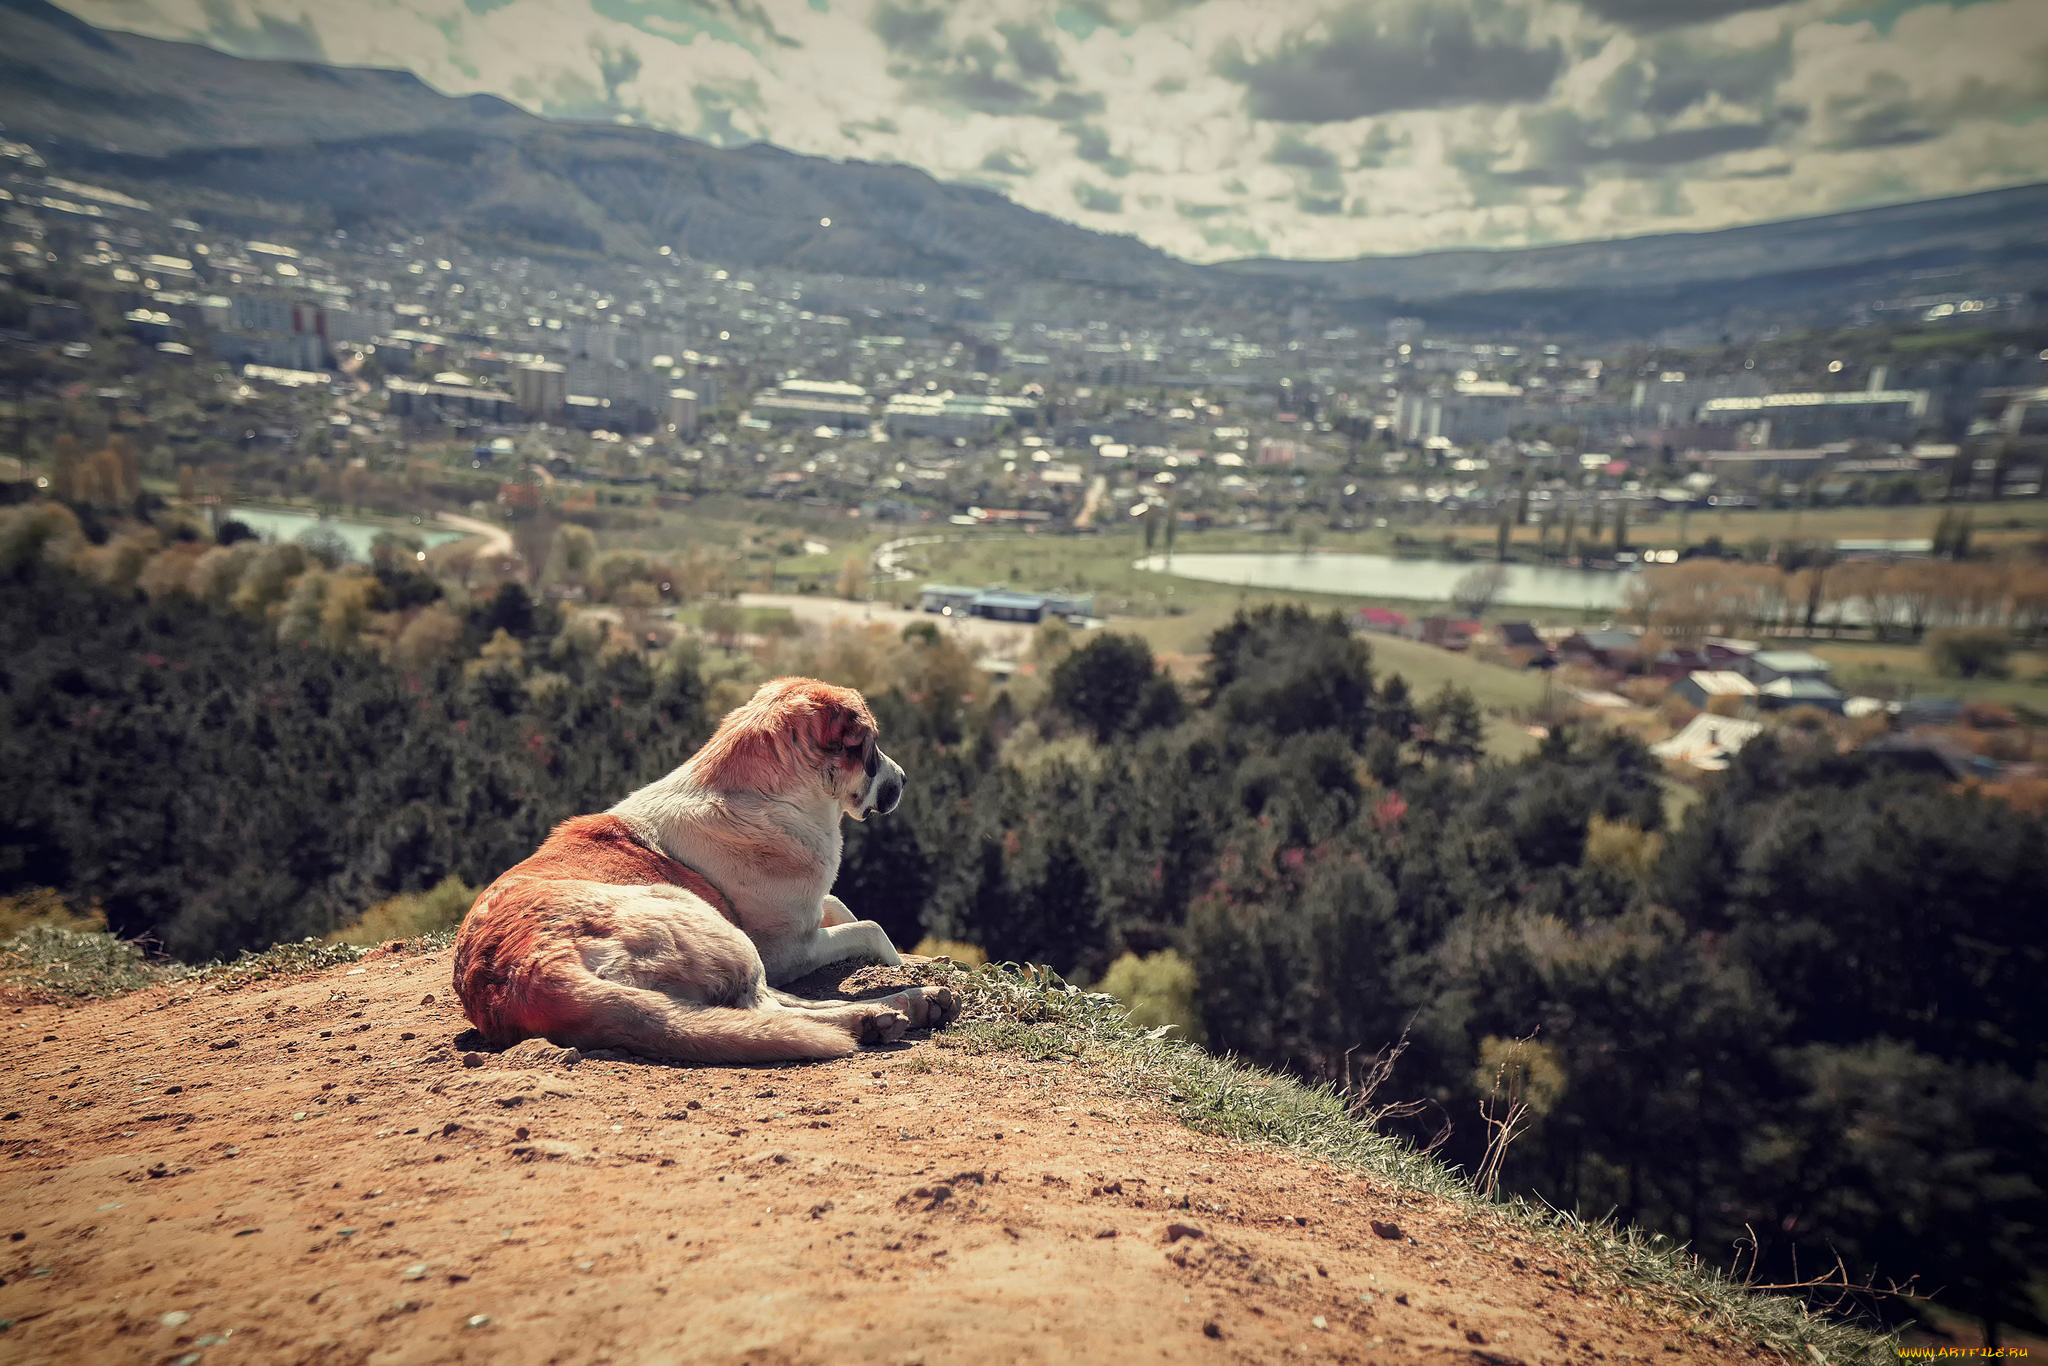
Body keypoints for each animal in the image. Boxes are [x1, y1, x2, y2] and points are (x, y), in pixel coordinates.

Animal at [450, 679, 958, 1064]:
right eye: (870, 745)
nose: (905, 779)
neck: (763, 794)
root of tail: (528, 971)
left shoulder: (809, 913)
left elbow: (842, 907)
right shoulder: (789, 950)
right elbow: (870, 928)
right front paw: (904, 963)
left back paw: (918, 1002)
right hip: (709, 923)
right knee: (768, 1008)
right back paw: (881, 1014)